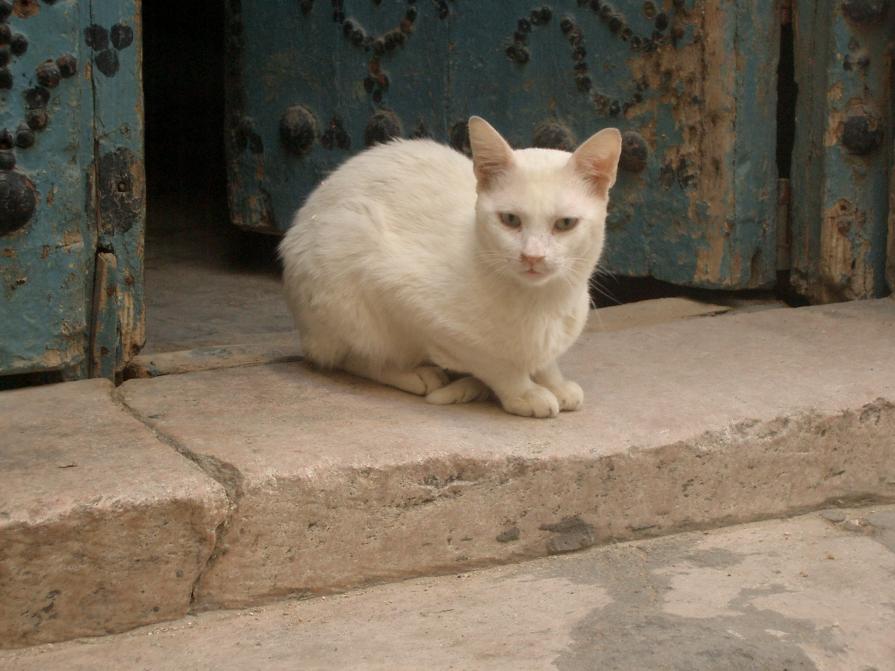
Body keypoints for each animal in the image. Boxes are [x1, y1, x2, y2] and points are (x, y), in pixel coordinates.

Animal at [282, 118, 624, 418]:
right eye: (510, 219)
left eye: (565, 223)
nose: (532, 257)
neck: (542, 303)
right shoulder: (406, 299)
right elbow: (494, 363)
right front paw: (523, 392)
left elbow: (544, 360)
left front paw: (554, 382)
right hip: (345, 263)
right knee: (352, 357)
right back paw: (414, 374)